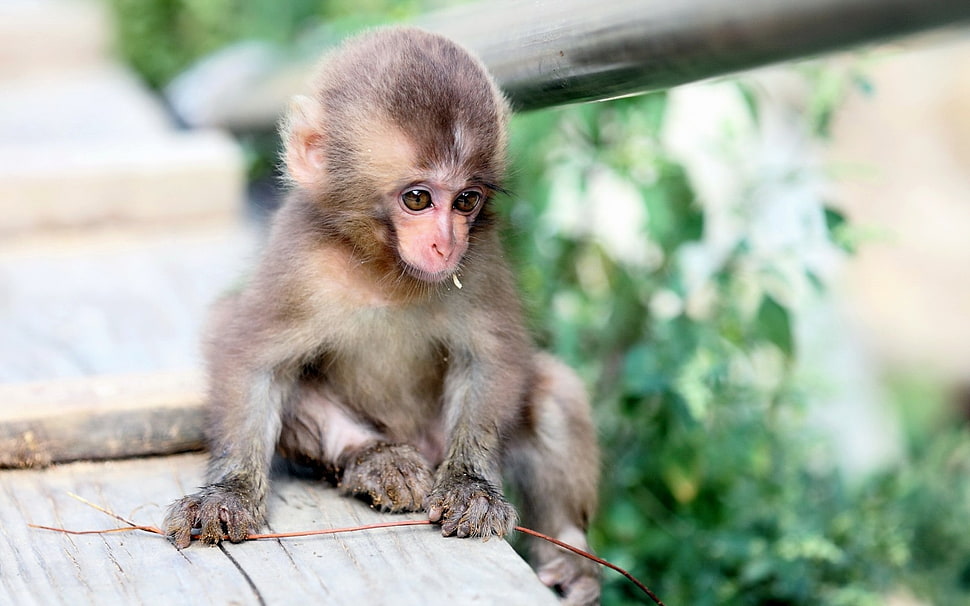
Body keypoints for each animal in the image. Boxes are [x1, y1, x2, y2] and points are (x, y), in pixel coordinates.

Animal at [164, 27, 600, 605]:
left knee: (552, 388)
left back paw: (570, 554)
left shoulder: (479, 260)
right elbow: (246, 355)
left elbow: (493, 355)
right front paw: (228, 492)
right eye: (418, 199)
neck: (383, 268)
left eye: (466, 201)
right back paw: (375, 458)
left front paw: (470, 484)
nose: (445, 244)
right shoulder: (297, 258)